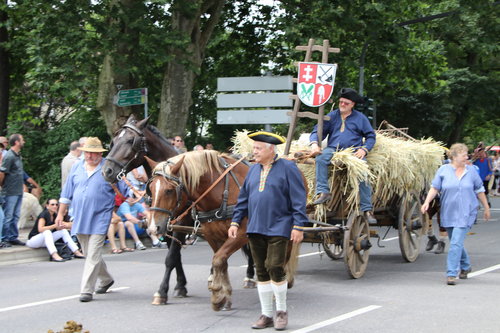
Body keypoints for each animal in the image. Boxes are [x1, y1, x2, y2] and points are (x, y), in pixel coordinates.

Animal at [145, 150, 300, 312]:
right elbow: (219, 260)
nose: (153, 227)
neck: (221, 192)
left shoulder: (240, 234)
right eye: (151, 189)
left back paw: (280, 283)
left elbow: (218, 259)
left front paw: (218, 294)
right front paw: (222, 294)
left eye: (169, 190)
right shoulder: (212, 235)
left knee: (283, 255)